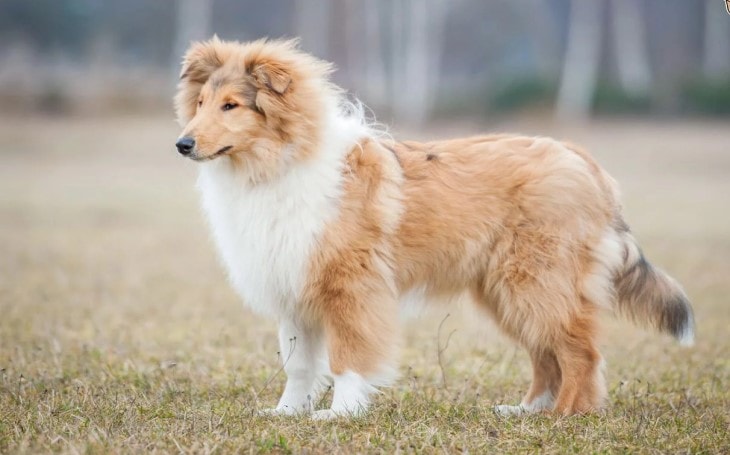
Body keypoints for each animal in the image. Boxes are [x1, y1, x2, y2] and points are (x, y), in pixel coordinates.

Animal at [173, 37, 692, 418]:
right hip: (507, 291)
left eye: (232, 105)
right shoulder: (293, 286)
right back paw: (525, 411)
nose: (182, 144)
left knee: (580, 352)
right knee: (548, 354)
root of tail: (584, 161)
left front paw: (339, 413)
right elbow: (298, 364)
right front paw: (286, 413)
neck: (278, 164)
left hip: (535, 281)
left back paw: (563, 416)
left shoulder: (351, 288)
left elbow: (347, 358)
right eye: (200, 102)